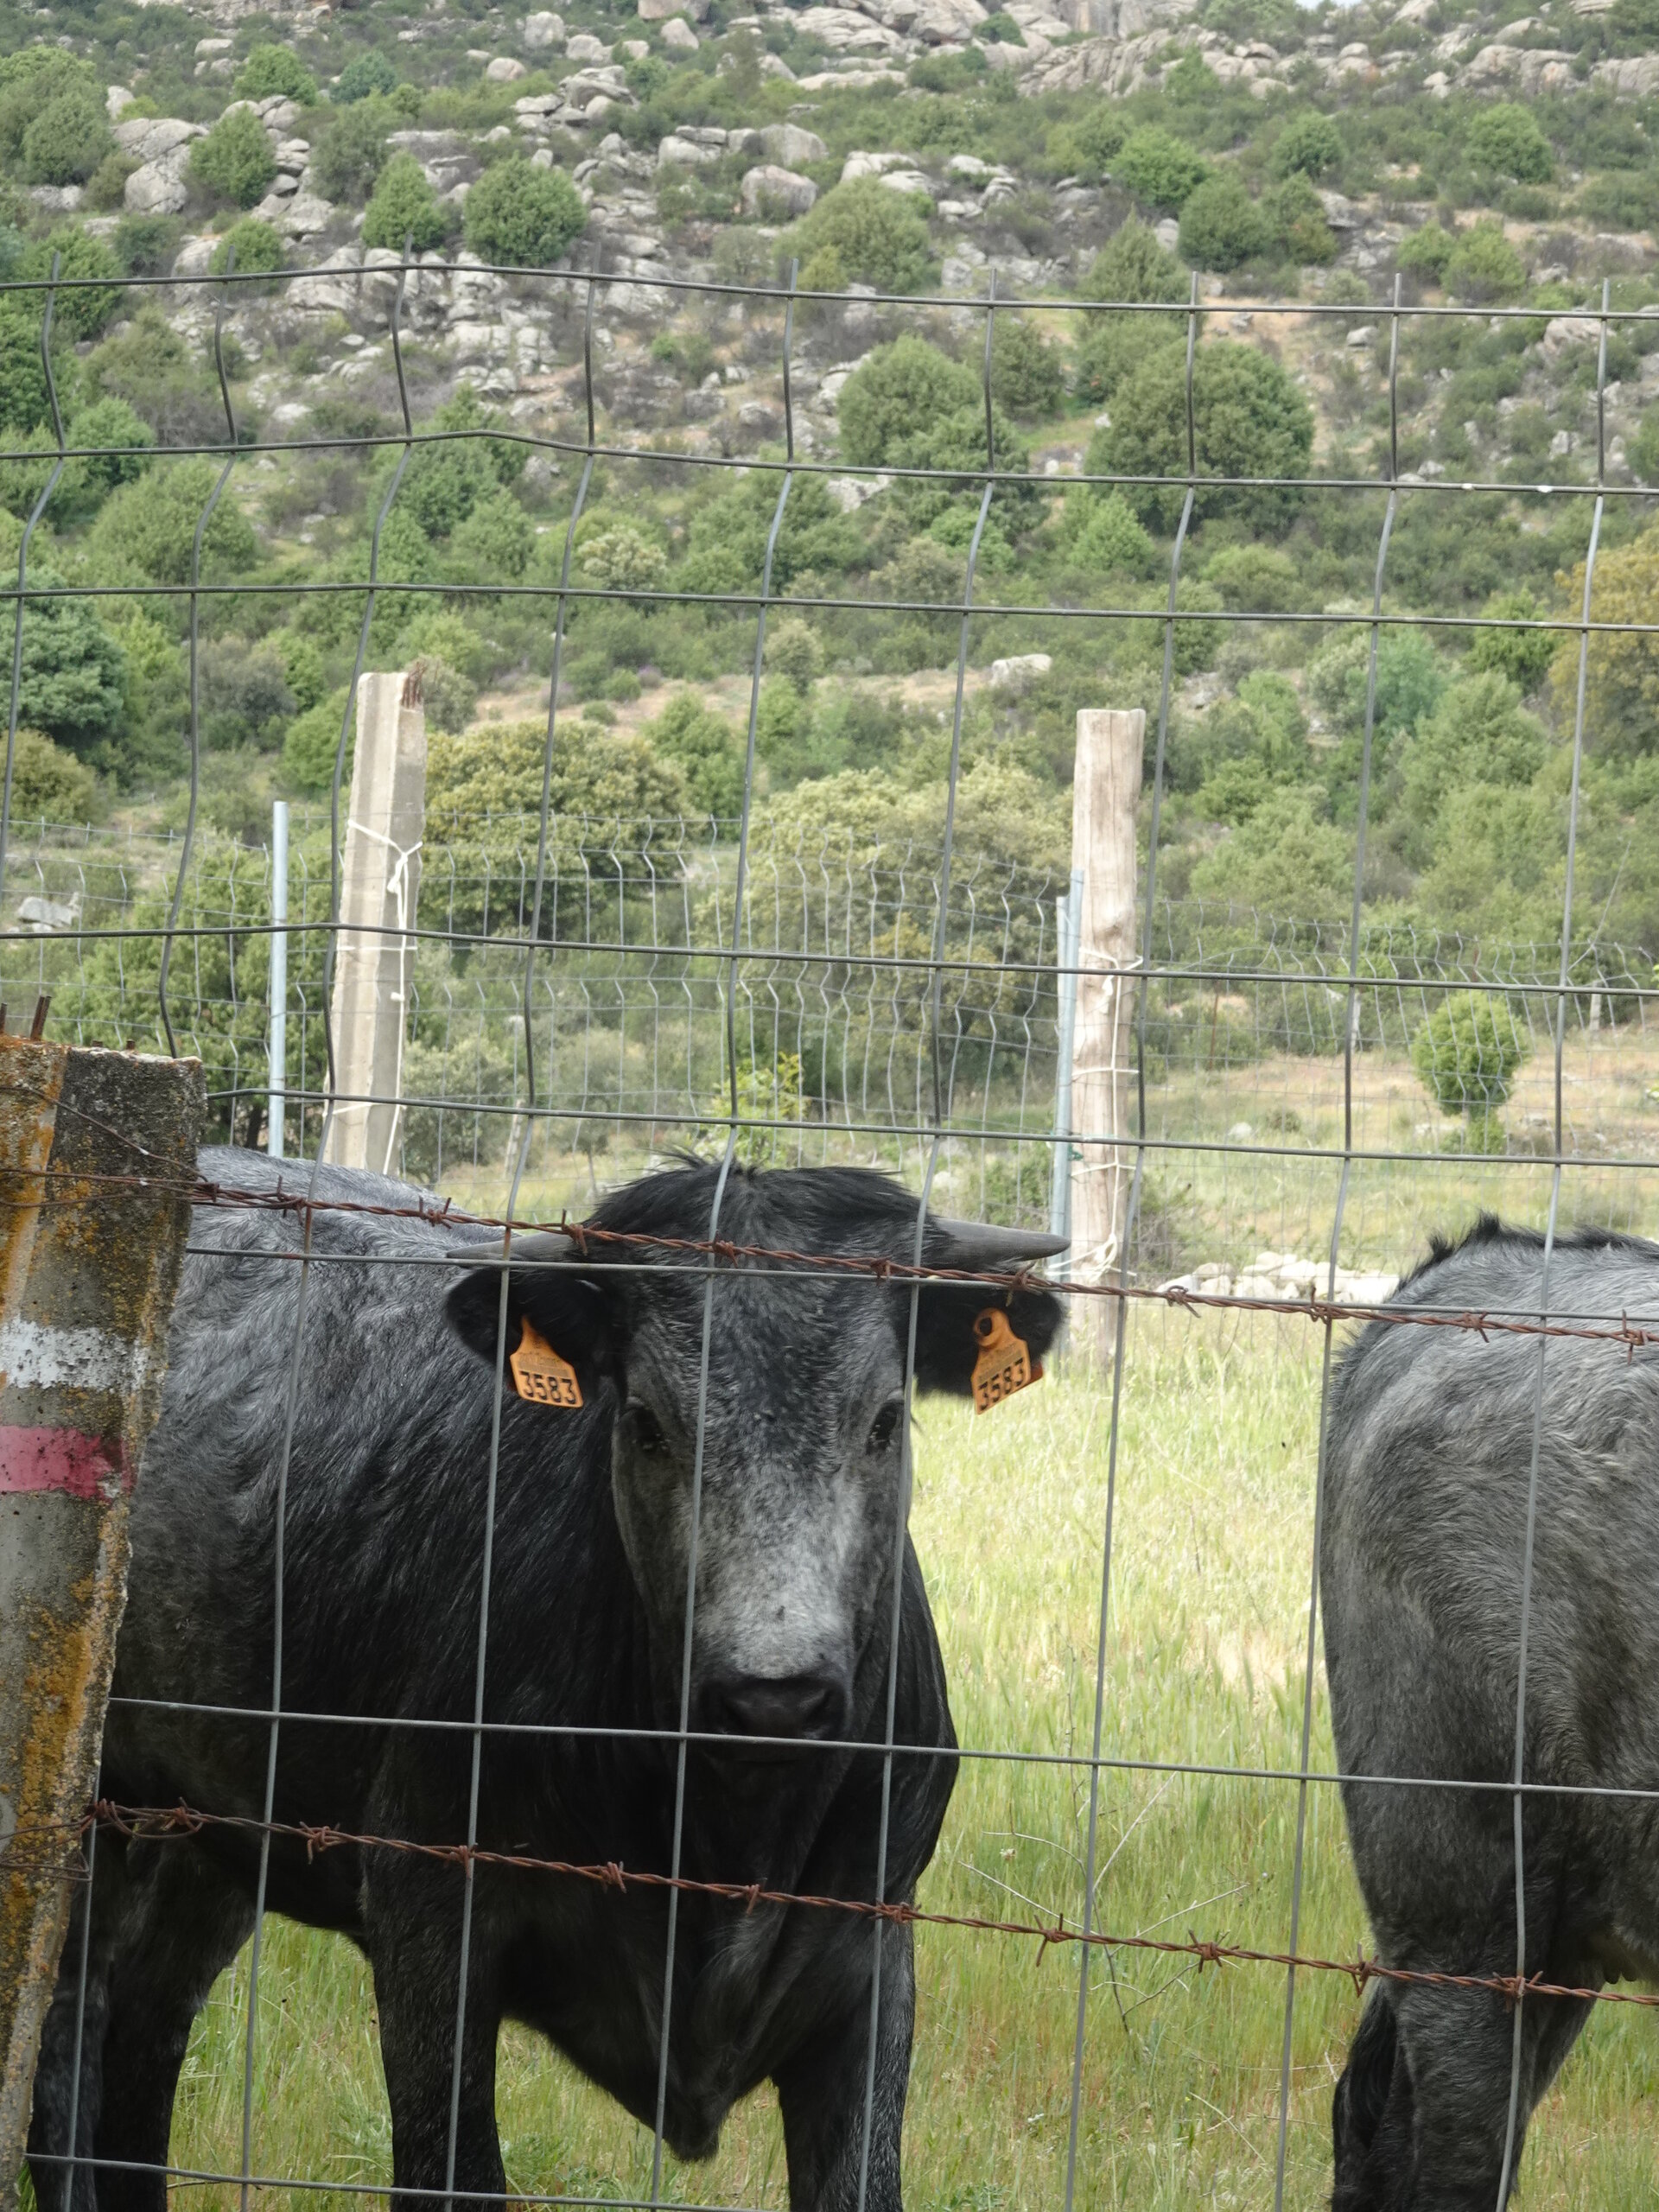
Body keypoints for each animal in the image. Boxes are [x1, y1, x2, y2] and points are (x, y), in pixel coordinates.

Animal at [27, 1149, 1065, 2212]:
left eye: (886, 1421)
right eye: (645, 1422)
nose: (775, 1694)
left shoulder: (874, 1955)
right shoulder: (427, 1915)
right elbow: (454, 2171)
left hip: (210, 1832)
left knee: (145, 2037)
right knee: (68, 2042)